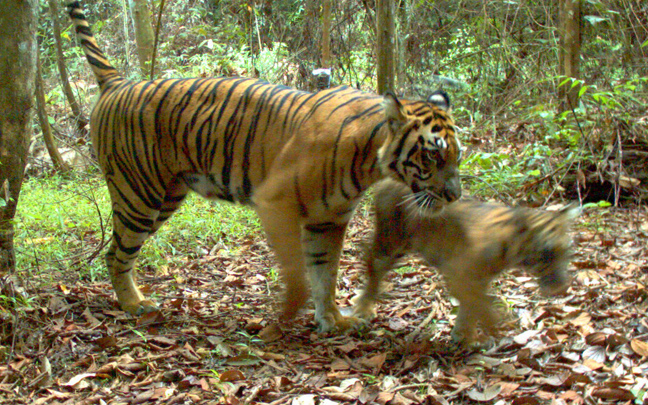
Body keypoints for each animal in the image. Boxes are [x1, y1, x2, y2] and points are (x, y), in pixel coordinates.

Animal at [66, 1, 464, 332]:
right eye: (432, 155)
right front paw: (289, 315)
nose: (455, 195)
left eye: (458, 155)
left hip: (166, 196)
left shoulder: (328, 220)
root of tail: (118, 83)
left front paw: (333, 320)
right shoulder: (277, 203)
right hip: (138, 195)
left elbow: (325, 271)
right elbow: (299, 271)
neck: (369, 160)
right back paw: (134, 305)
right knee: (116, 253)